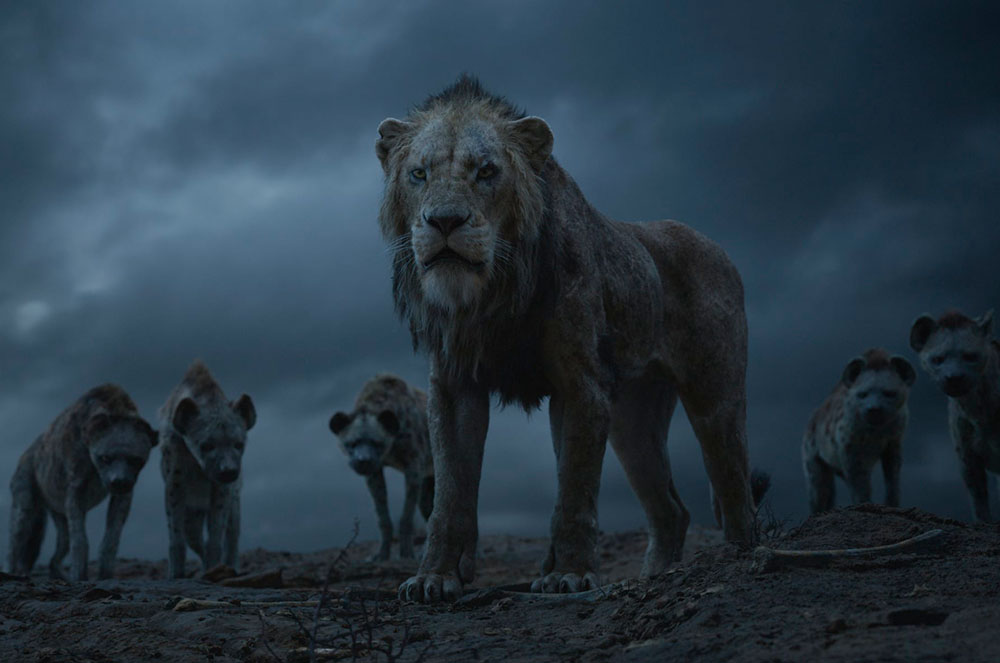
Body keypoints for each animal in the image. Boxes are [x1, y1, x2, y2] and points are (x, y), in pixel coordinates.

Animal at [376, 75, 757, 602]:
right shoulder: (453, 387)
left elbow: (574, 486)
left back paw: (737, 559)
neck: (492, 293)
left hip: (714, 397)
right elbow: (450, 493)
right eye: (418, 173)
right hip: (632, 420)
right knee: (672, 511)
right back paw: (655, 577)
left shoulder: (580, 384)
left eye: (487, 171)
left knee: (733, 483)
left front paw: (569, 574)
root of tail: (721, 250)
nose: (445, 221)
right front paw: (435, 576)